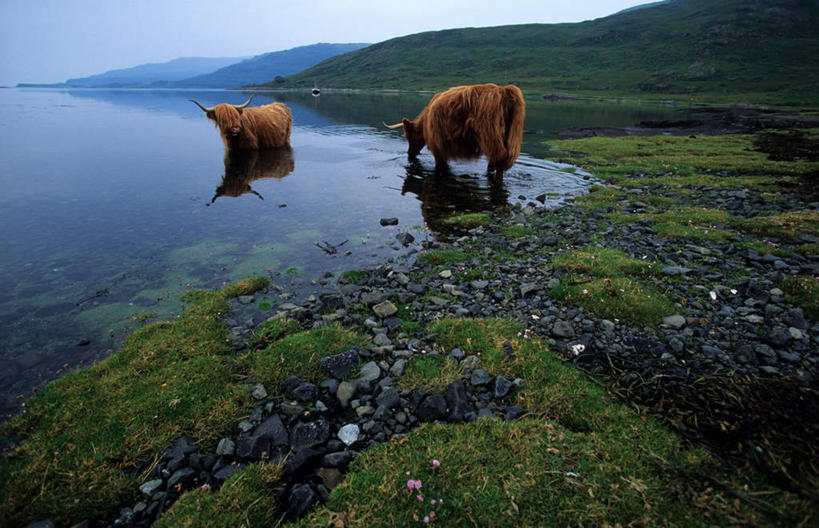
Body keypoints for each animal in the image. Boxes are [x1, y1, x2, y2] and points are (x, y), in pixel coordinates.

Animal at [384, 83, 524, 178]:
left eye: (408, 137)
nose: (409, 153)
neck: (425, 122)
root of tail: (503, 90)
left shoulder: (438, 147)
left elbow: (440, 165)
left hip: (490, 135)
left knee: (498, 159)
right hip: (508, 136)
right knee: (496, 160)